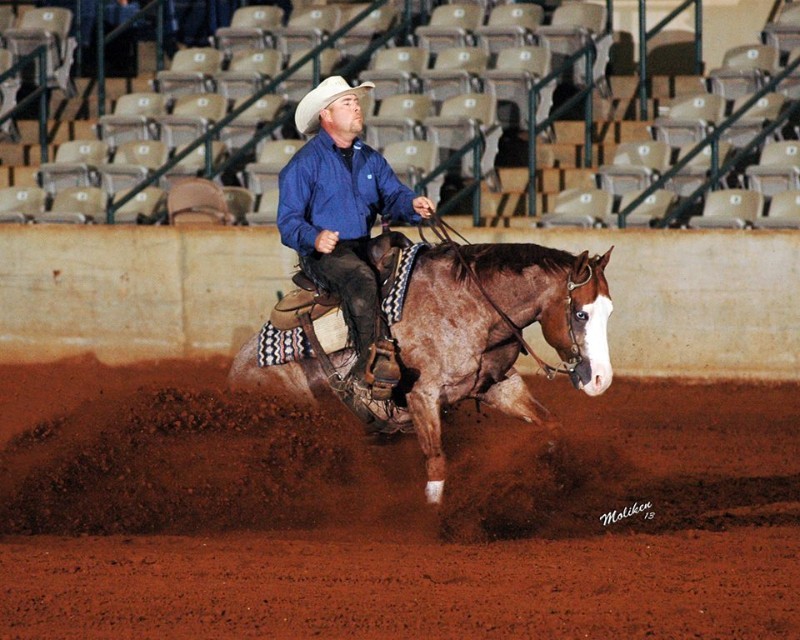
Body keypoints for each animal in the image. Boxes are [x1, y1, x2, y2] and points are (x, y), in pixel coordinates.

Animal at [228, 240, 616, 504]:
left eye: (609, 311)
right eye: (580, 313)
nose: (601, 379)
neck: (470, 305)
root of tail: (236, 372)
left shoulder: (498, 386)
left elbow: (551, 426)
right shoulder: (422, 396)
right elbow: (437, 463)